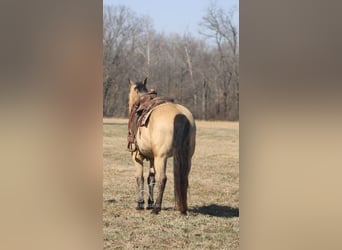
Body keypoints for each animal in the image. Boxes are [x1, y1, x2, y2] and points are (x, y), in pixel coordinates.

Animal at [126, 78, 195, 215]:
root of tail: (180, 114)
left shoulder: (137, 156)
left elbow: (140, 178)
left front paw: (140, 204)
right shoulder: (152, 158)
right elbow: (150, 179)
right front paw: (149, 203)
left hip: (161, 157)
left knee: (162, 178)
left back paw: (157, 208)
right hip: (187, 157)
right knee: (183, 178)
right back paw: (180, 207)